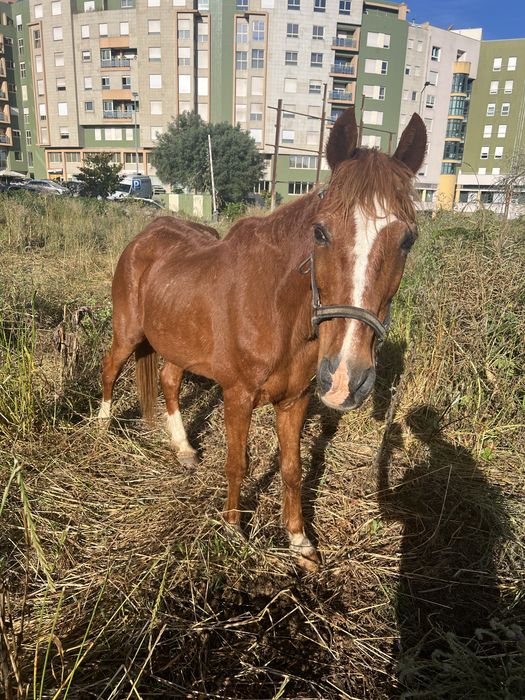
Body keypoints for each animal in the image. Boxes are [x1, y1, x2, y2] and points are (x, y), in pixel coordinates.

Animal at [99, 107, 426, 570]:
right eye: (320, 232)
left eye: (407, 239)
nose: (346, 379)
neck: (277, 308)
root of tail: (145, 237)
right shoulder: (237, 396)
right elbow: (238, 463)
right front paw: (234, 529)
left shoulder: (295, 400)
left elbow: (291, 469)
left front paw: (299, 541)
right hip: (128, 333)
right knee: (111, 368)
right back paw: (102, 426)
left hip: (178, 340)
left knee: (168, 380)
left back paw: (183, 449)